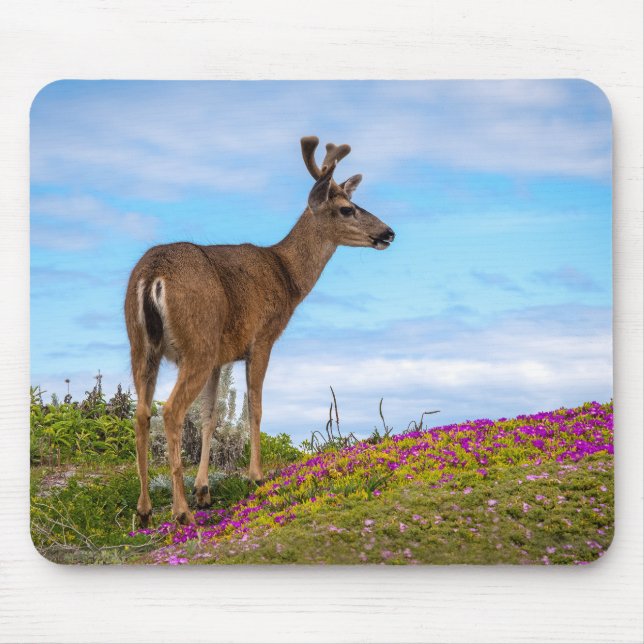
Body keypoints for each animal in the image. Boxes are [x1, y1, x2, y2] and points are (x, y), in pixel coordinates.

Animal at [124, 136, 395, 527]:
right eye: (347, 209)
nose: (388, 232)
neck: (288, 277)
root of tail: (152, 275)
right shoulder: (262, 338)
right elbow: (256, 406)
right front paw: (256, 476)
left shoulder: (221, 357)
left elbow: (210, 418)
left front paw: (204, 490)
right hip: (197, 342)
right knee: (171, 411)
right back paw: (180, 512)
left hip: (143, 344)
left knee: (142, 413)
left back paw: (145, 510)